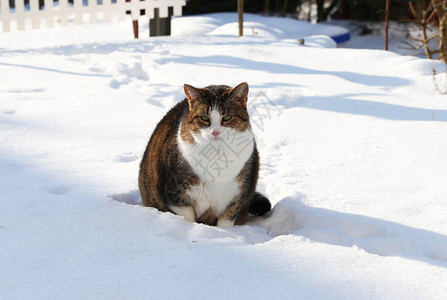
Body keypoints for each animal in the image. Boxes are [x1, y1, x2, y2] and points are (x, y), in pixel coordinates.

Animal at [140, 82, 272, 227]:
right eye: (204, 117)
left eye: (227, 117)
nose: (215, 132)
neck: (217, 155)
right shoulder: (175, 194)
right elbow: (187, 216)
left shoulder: (237, 194)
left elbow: (227, 219)